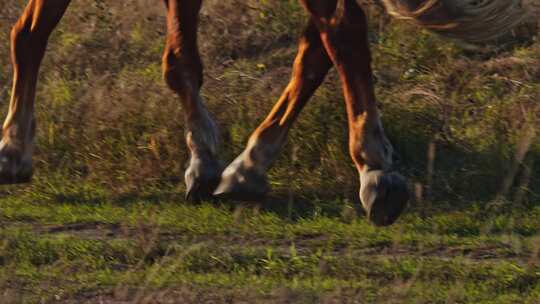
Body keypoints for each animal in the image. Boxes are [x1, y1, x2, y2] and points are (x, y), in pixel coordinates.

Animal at [0, 0, 532, 226]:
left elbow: (28, 32)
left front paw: (12, 150)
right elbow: (181, 58)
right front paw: (205, 161)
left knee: (340, 26)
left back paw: (375, 172)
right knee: (317, 45)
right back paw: (249, 167)